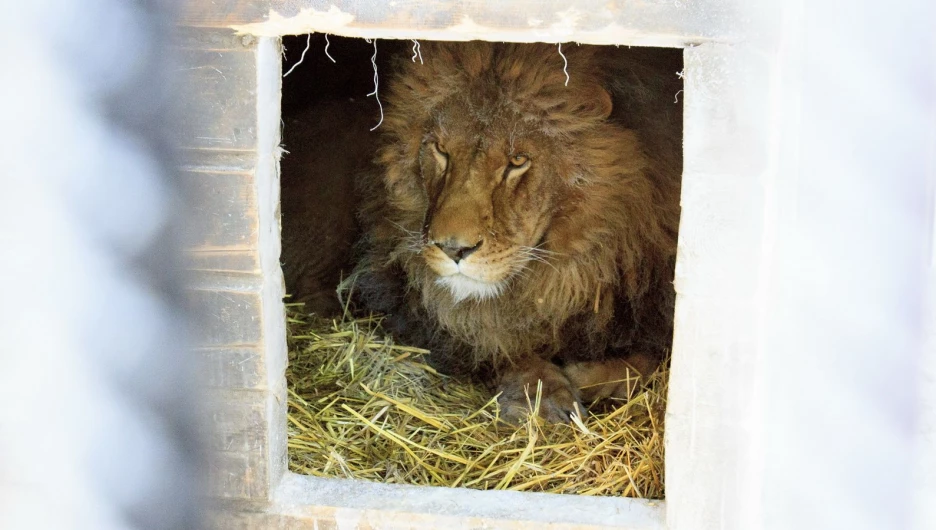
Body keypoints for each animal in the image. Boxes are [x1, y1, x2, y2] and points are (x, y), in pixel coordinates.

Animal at [354, 41, 684, 420]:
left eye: (517, 161)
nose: (453, 249)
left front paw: (588, 377)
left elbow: (651, 360)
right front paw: (546, 395)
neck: (575, 272)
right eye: (441, 150)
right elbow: (490, 341)